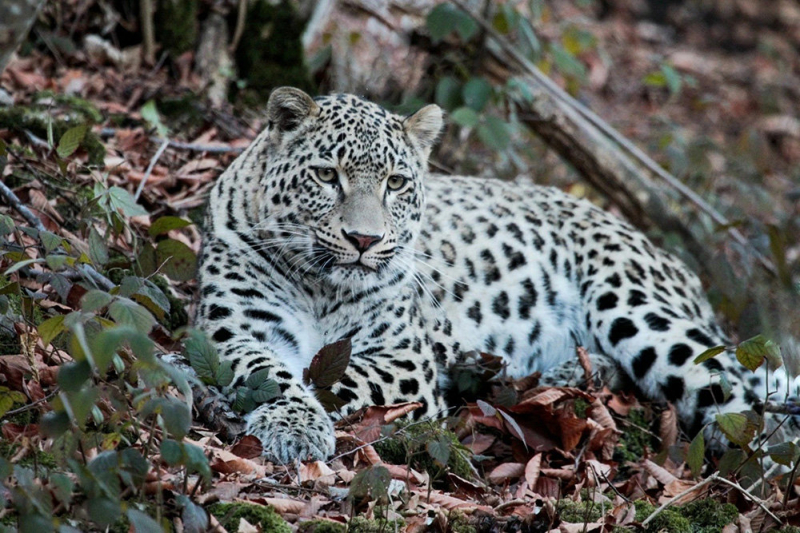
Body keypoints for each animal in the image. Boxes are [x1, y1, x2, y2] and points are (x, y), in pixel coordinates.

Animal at [197, 86, 796, 462]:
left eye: (395, 182)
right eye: (326, 175)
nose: (364, 241)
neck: (323, 287)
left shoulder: (404, 358)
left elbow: (328, 376)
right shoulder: (234, 331)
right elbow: (273, 373)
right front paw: (292, 427)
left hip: (639, 310)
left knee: (745, 404)